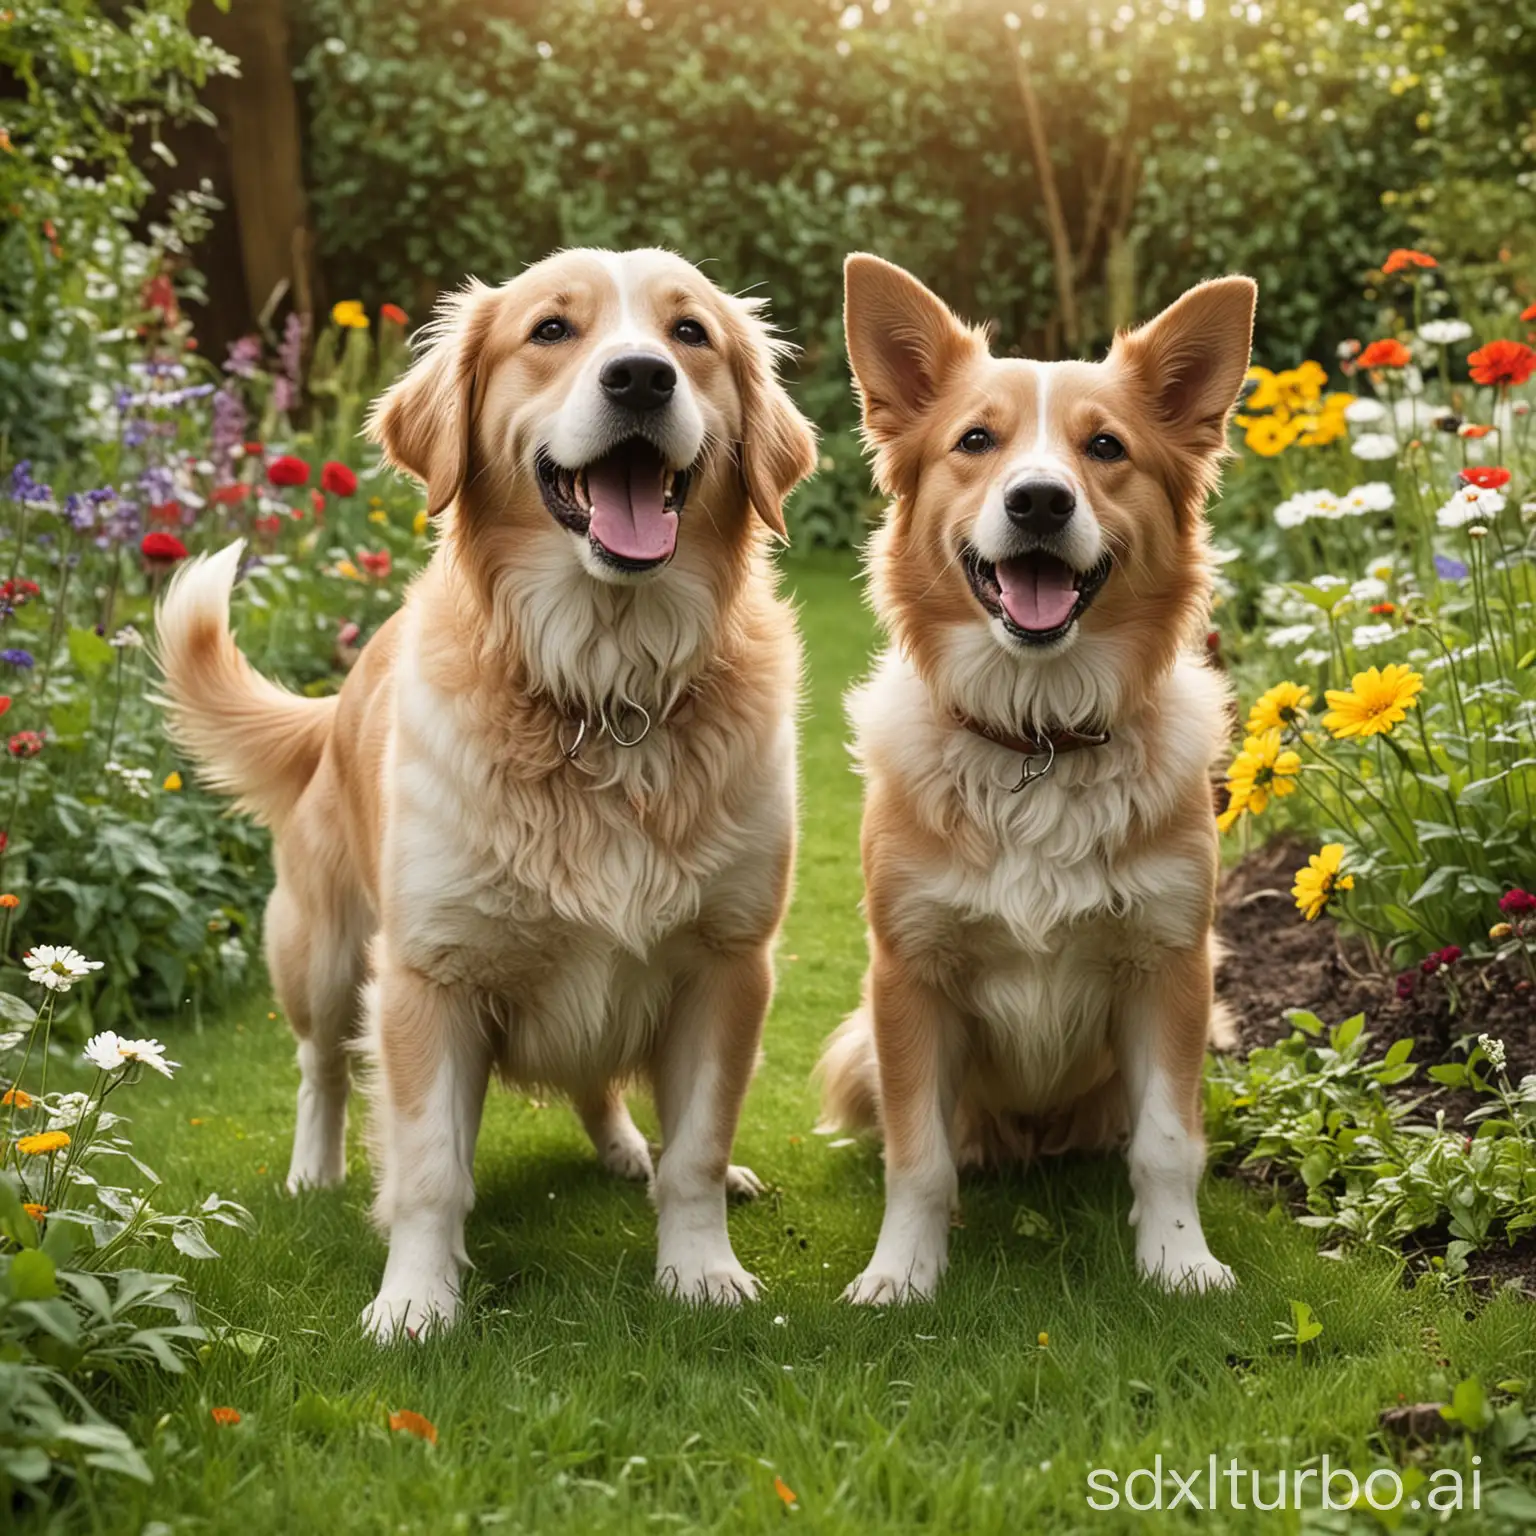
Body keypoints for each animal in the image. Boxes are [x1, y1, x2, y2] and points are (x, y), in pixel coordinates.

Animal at [158, 248, 817, 1333]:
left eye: (690, 334)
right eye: (551, 330)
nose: (641, 378)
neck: (604, 692)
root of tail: (333, 700)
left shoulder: (728, 964)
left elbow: (696, 1150)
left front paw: (701, 1268)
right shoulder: (430, 975)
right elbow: (430, 1168)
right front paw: (414, 1302)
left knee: (603, 1089)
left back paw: (627, 1149)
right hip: (322, 951)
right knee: (319, 1068)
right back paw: (313, 1172)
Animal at [823, 258, 1253, 1302]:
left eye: (1106, 447)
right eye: (976, 440)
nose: (1040, 503)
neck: (1037, 735)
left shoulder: (1171, 968)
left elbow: (1168, 1146)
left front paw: (1178, 1258)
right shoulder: (910, 976)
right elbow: (917, 1157)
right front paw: (901, 1273)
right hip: (856, 1041)